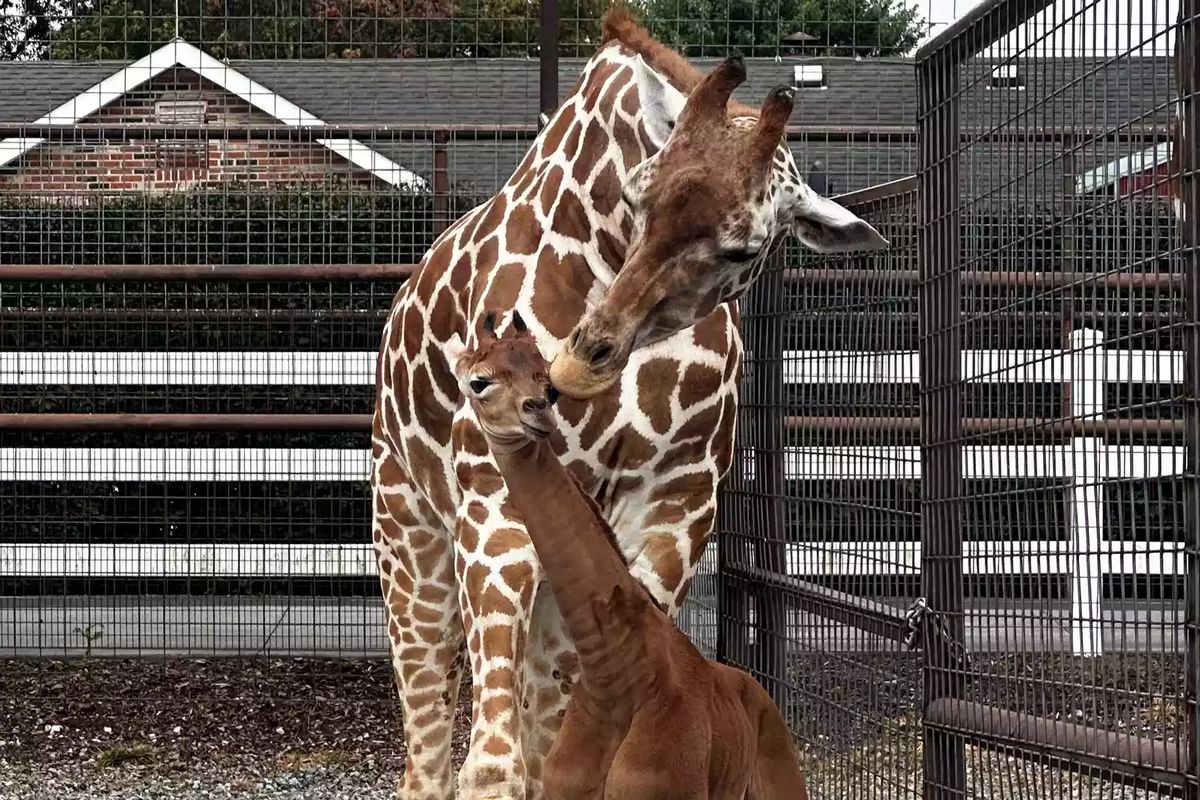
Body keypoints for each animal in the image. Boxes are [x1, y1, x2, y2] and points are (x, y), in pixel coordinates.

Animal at [446, 311, 811, 800]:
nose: (537, 410)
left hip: (783, 779)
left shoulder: (669, 789)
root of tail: (760, 692)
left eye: (546, 377)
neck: (613, 672)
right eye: (479, 382)